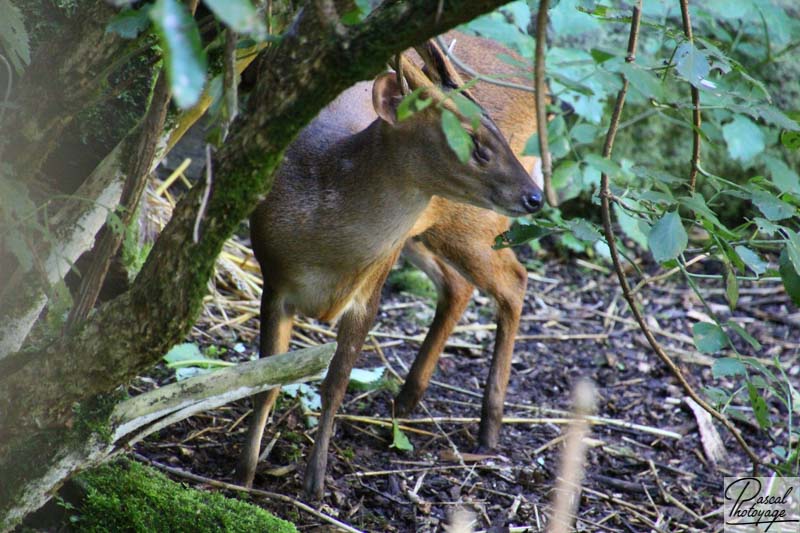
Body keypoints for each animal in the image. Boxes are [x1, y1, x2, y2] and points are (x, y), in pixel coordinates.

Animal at [234, 35, 540, 496]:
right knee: (463, 285)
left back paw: (488, 428)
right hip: (428, 234)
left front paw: (315, 483)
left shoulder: (371, 291)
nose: (534, 196)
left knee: (513, 281)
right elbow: (265, 383)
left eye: (497, 133)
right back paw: (407, 400)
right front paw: (244, 476)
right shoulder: (274, 280)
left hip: (469, 225)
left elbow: (335, 385)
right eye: (473, 142)